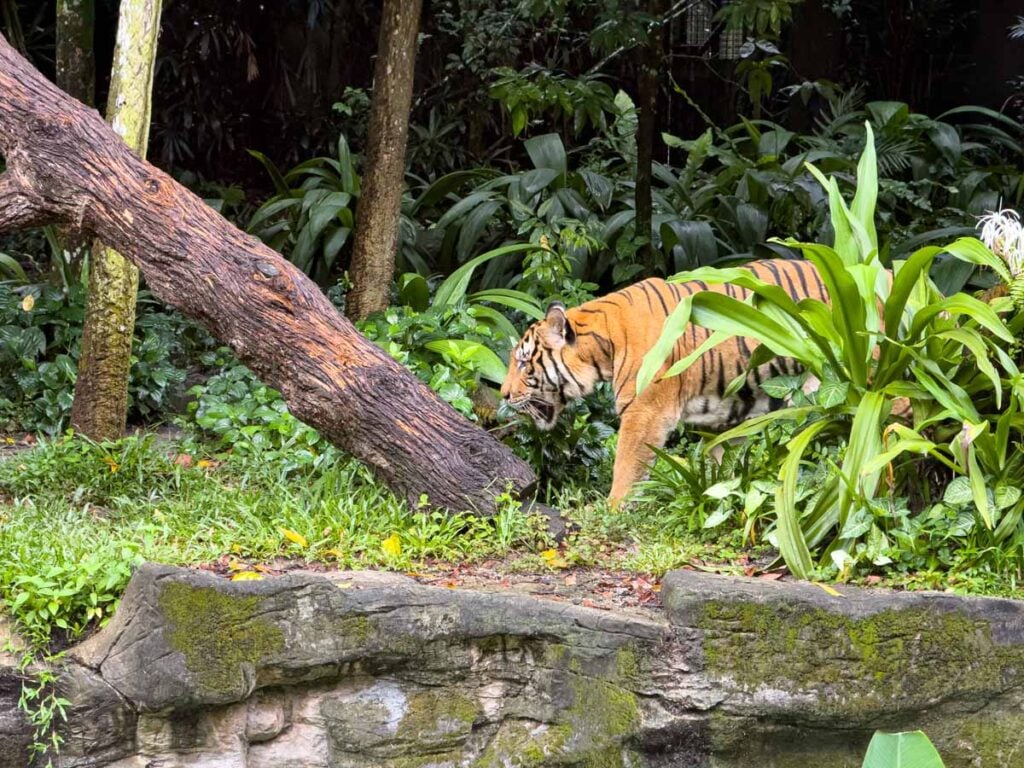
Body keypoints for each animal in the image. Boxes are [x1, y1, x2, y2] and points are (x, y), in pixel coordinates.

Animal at [500, 259, 830, 505]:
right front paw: (720, 493)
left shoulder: (644, 411)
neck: (603, 345)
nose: (503, 395)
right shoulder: (726, 413)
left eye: (523, 362)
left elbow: (626, 465)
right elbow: (722, 460)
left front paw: (612, 508)